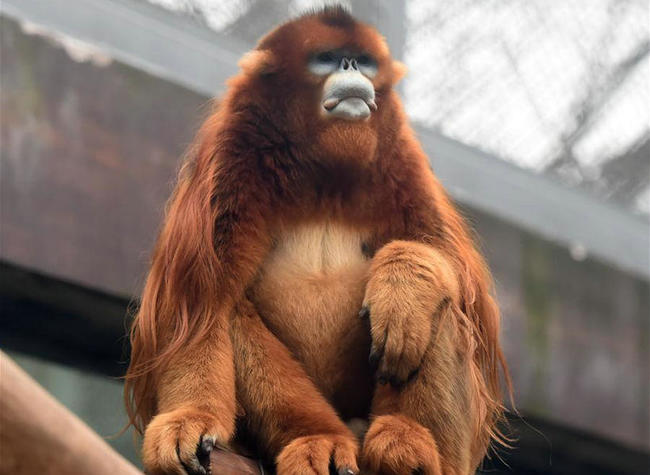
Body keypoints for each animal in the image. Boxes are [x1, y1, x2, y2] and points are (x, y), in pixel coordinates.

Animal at [125, 6, 510, 475]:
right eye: (326, 58)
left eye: (363, 61)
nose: (349, 67)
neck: (325, 178)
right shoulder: (230, 158)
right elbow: (198, 306)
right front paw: (189, 419)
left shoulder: (402, 160)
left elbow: (465, 291)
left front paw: (403, 286)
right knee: (233, 307)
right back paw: (318, 440)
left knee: (441, 306)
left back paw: (407, 442)